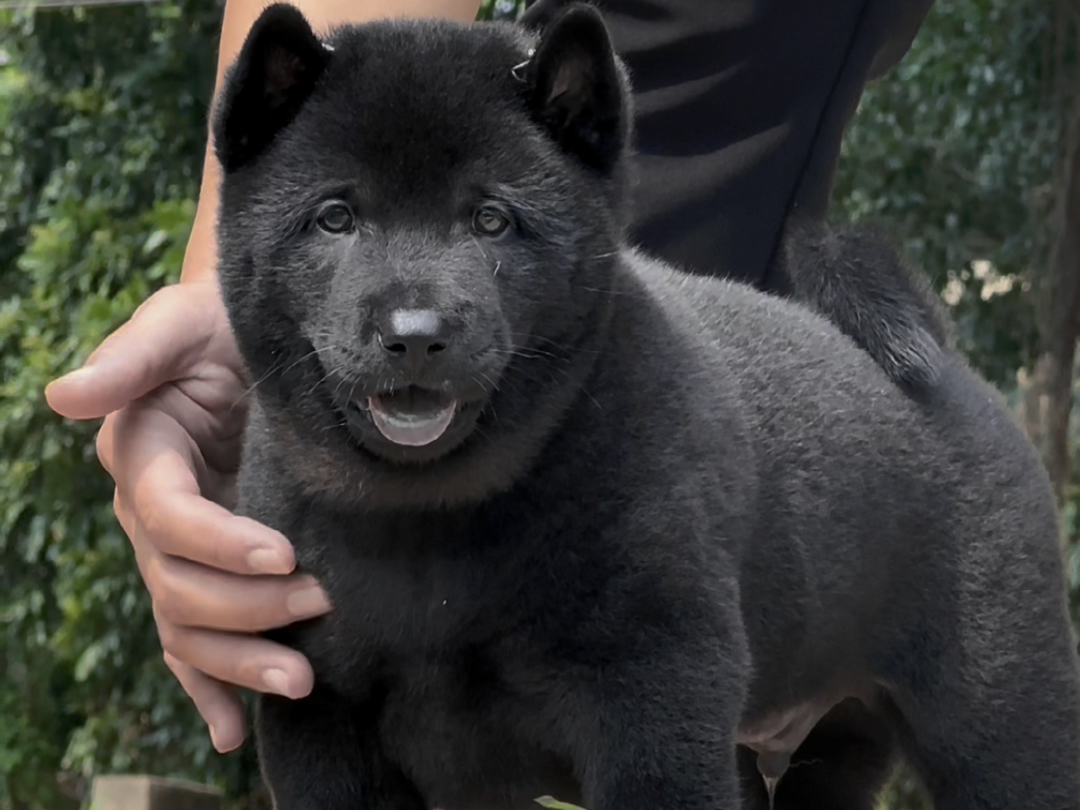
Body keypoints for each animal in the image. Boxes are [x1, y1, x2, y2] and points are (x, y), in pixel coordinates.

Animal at [212, 6, 1080, 810]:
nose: (417, 334)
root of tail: (954, 366)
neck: (427, 523)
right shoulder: (320, 722)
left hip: (1003, 723)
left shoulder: (655, 702)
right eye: (335, 217)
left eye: (492, 219)